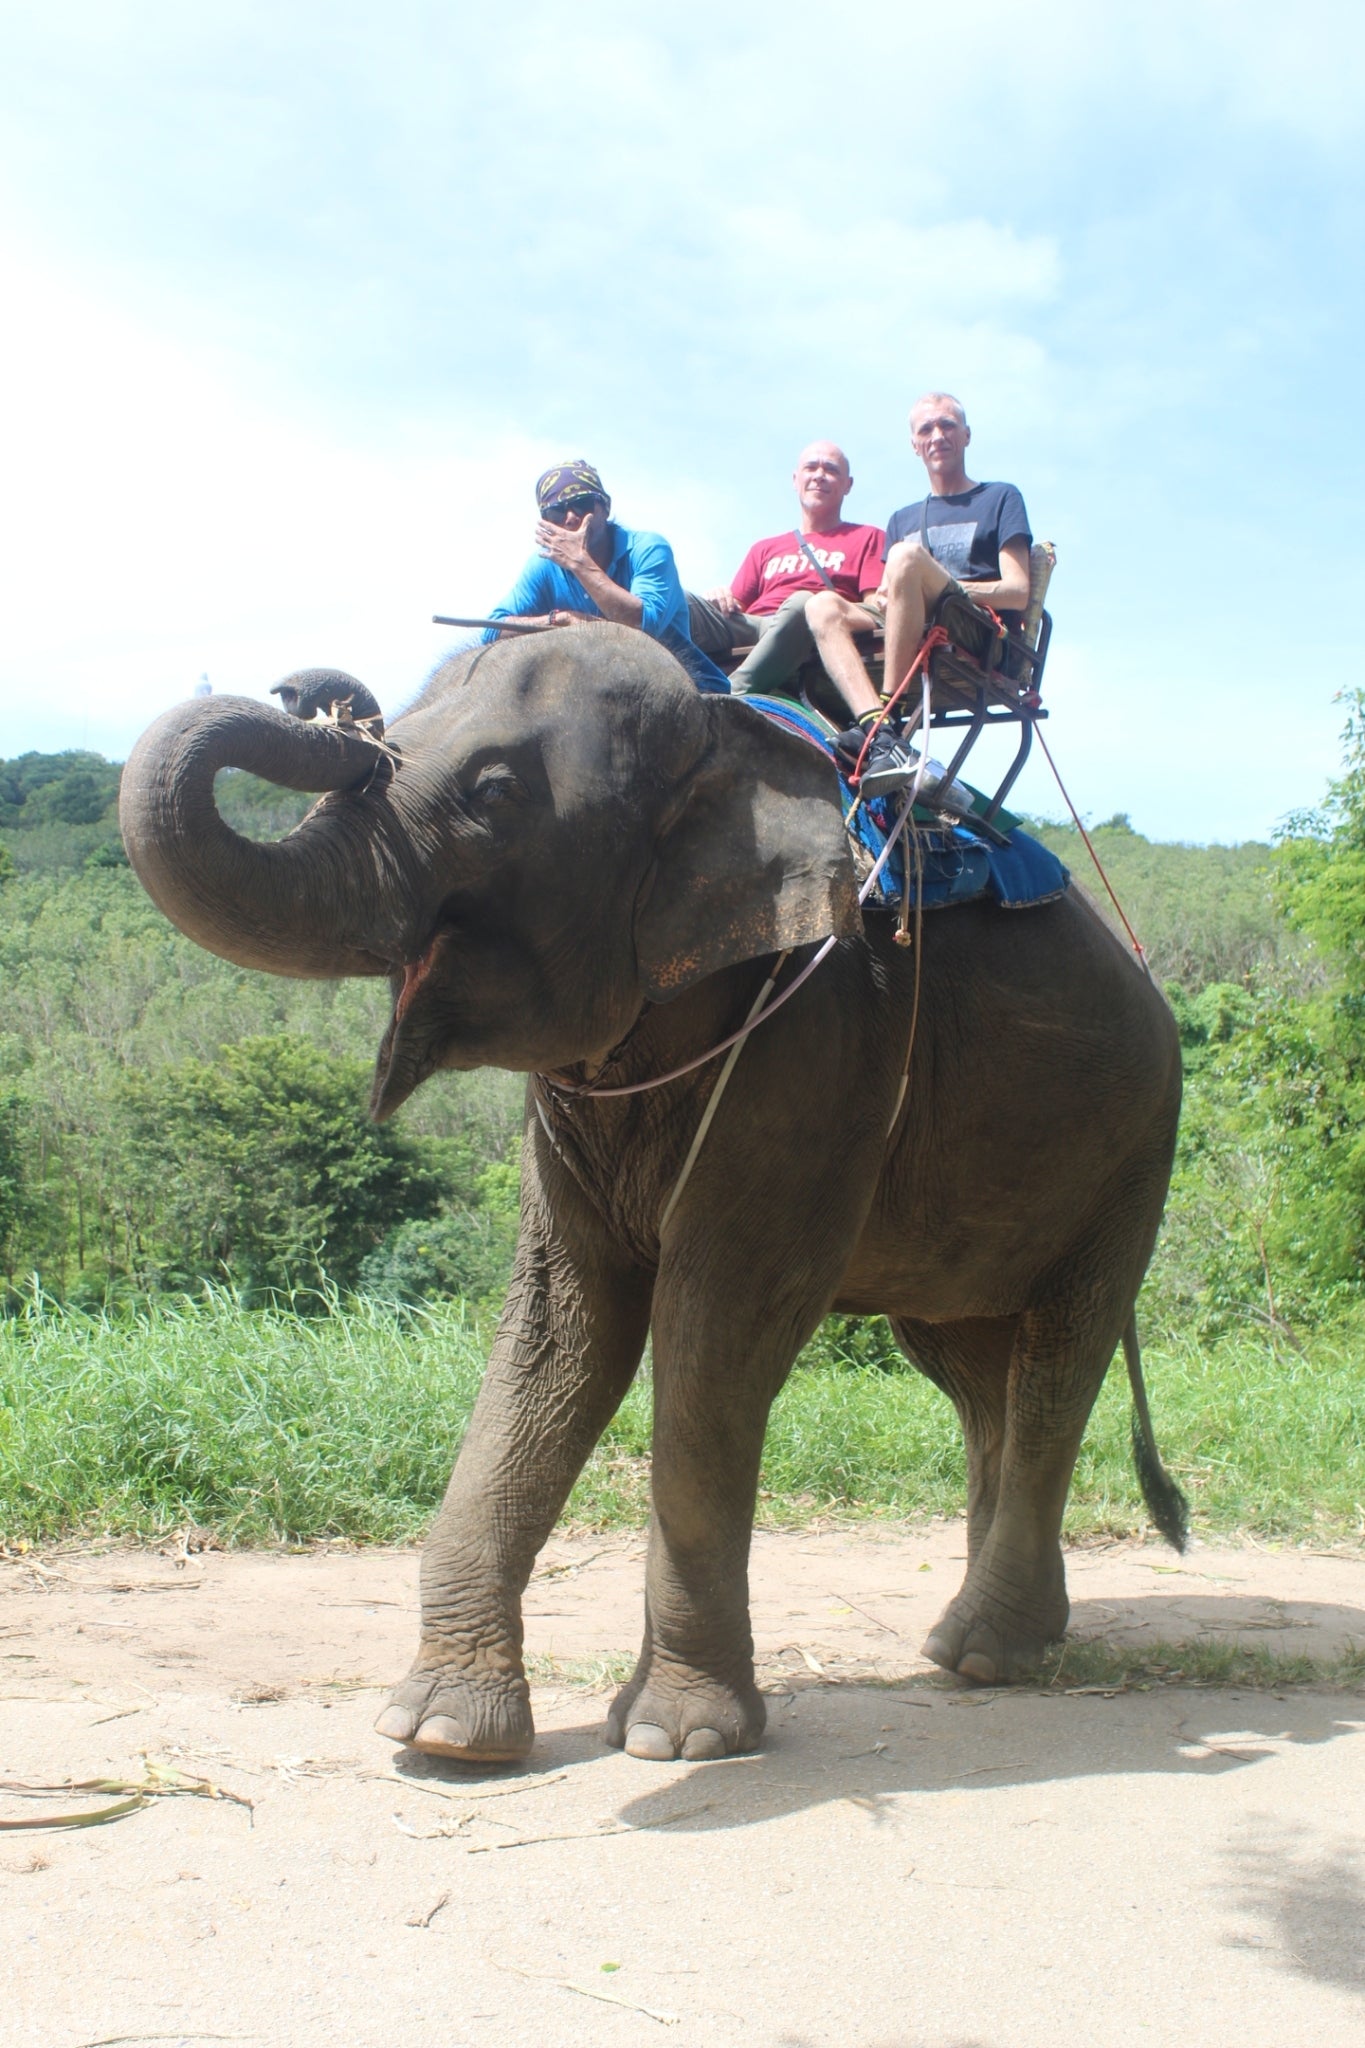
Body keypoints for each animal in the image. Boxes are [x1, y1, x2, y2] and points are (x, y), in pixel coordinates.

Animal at [125, 622, 1186, 1761]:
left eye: (494, 793)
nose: (313, 696)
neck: (728, 742)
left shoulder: (820, 1043)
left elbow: (712, 1327)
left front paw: (678, 1739)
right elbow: (561, 1330)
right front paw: (444, 1735)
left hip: (1135, 1149)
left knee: (1056, 1360)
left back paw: (988, 1653)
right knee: (971, 1366)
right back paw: (979, 1638)